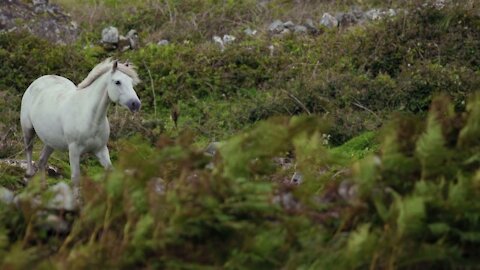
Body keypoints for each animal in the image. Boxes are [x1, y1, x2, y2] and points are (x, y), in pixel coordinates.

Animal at [20, 58, 141, 188]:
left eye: (131, 82)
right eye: (118, 82)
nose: (136, 104)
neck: (90, 118)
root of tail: (38, 81)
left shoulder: (101, 150)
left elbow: (110, 171)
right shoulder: (74, 151)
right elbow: (75, 179)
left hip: (50, 142)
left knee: (42, 161)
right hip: (28, 130)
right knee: (29, 148)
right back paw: (29, 175)